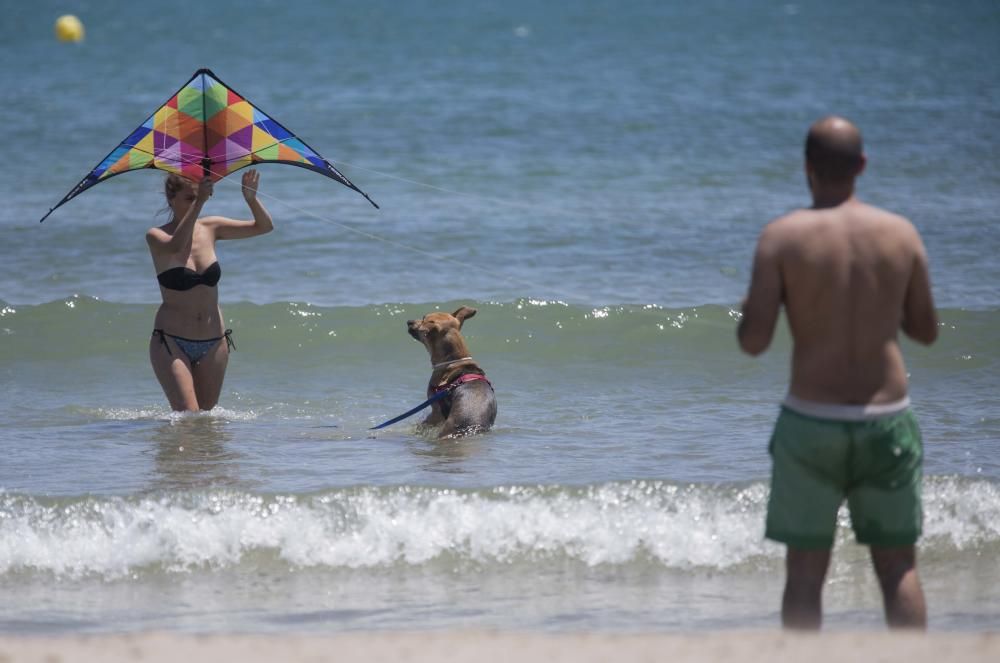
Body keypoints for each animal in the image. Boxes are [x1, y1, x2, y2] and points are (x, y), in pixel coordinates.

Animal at [404, 308, 498, 438]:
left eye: (423, 319)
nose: (409, 321)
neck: (455, 359)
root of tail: (470, 427)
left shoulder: (436, 411)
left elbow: (423, 424)